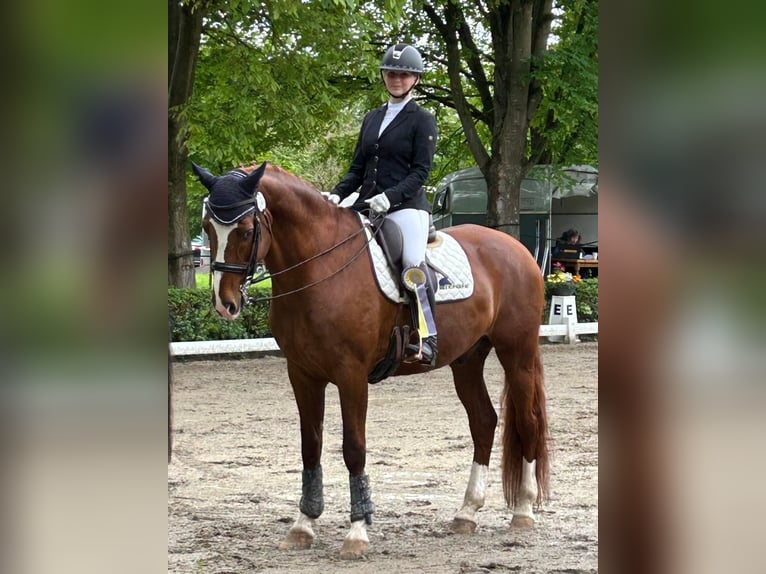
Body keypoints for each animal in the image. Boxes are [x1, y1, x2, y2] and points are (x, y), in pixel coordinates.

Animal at [195, 162, 548, 564]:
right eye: (208, 227)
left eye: (246, 229)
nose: (225, 303)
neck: (319, 266)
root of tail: (516, 248)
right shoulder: (302, 374)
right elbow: (310, 446)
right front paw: (302, 526)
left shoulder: (351, 375)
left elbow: (354, 449)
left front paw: (357, 531)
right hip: (467, 360)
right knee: (484, 422)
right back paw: (466, 513)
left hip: (517, 353)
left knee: (528, 422)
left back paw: (523, 511)